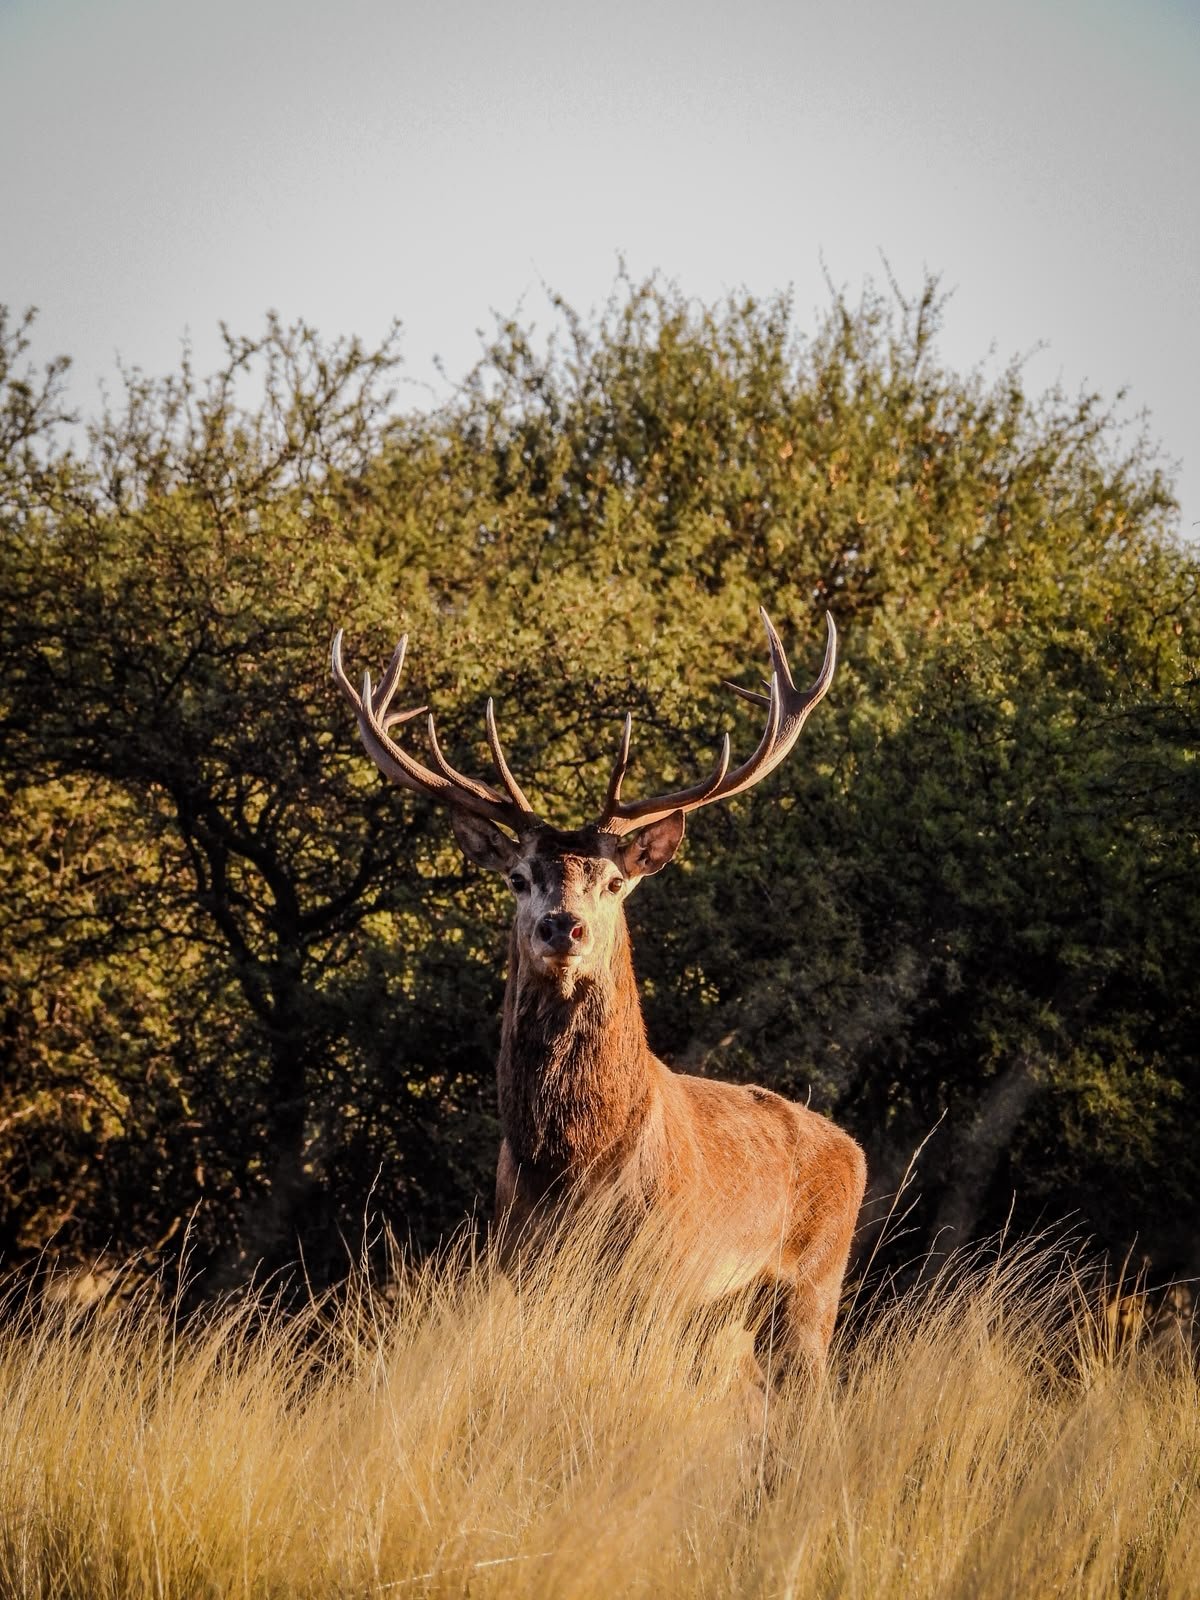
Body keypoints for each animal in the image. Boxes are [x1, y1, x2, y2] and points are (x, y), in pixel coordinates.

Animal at [331, 608, 866, 1383]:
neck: (569, 1166)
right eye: (519, 877)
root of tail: (854, 1152)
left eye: (614, 882)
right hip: (733, 1325)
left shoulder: (657, 1276)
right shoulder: (518, 1265)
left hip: (812, 1287)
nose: (564, 924)